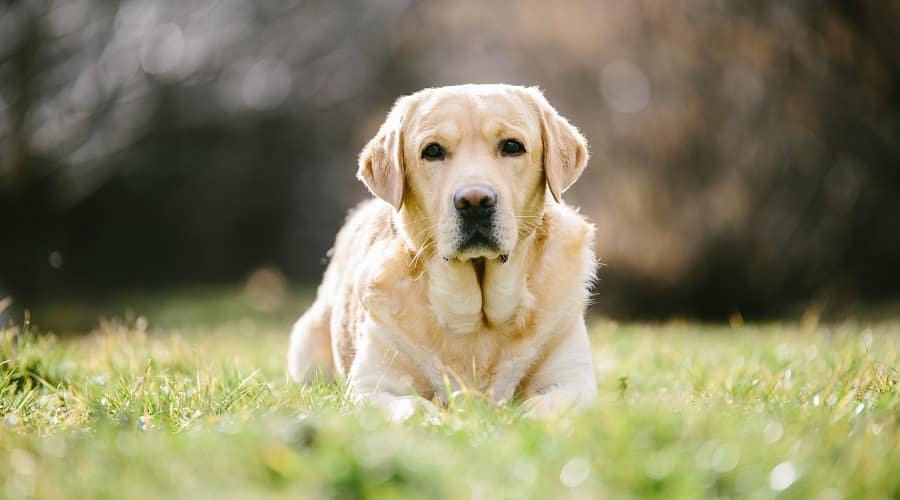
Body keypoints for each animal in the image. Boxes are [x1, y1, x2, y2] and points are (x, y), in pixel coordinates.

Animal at [288, 85, 596, 418]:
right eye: (432, 151)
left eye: (513, 146)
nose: (475, 202)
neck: (478, 320)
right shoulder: (370, 388)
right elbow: (413, 407)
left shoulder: (574, 380)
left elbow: (543, 408)